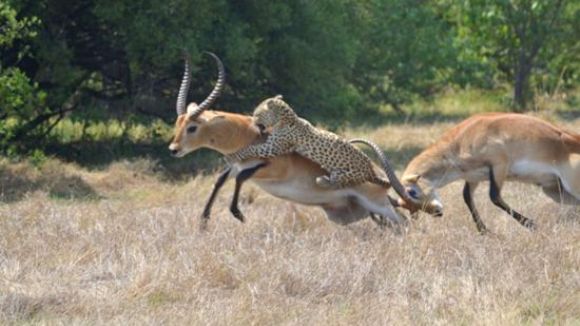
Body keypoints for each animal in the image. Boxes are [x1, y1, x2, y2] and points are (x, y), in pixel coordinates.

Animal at [227, 95, 390, 190]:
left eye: (257, 114)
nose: (253, 120)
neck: (285, 119)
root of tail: (370, 170)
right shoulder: (271, 142)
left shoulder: (274, 147)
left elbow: (251, 149)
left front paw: (232, 156)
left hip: (345, 173)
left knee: (339, 184)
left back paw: (323, 180)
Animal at [396, 113, 580, 233]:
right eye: (405, 205)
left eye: (412, 192)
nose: (437, 212)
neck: (461, 140)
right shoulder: (473, 177)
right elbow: (467, 197)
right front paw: (484, 231)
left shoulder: (498, 165)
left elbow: (494, 197)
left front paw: (531, 224)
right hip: (554, 191)